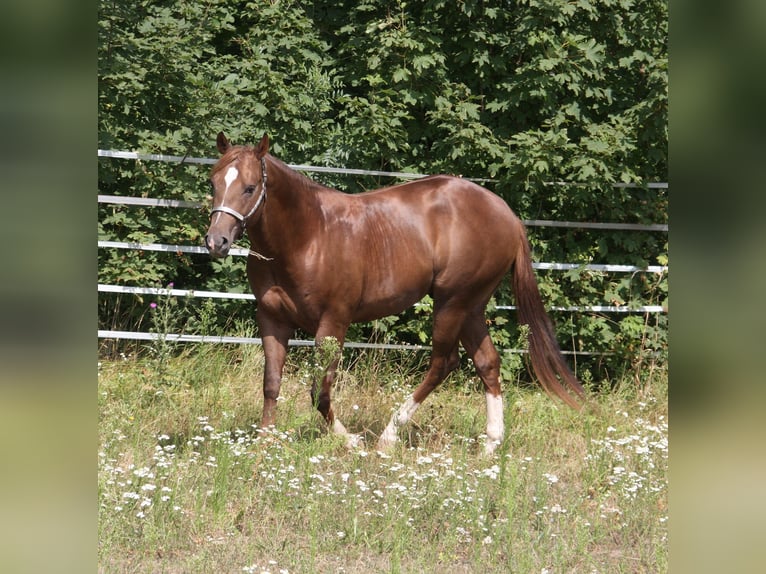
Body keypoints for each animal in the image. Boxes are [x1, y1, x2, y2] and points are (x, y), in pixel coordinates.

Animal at [204, 132, 585, 454]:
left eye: (250, 187)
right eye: (213, 182)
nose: (215, 242)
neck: (308, 236)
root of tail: (507, 215)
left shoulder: (333, 323)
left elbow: (319, 391)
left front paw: (350, 440)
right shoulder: (272, 319)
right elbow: (271, 383)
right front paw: (263, 445)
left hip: (452, 302)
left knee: (443, 363)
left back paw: (389, 435)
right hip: (472, 306)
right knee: (487, 363)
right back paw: (490, 444)